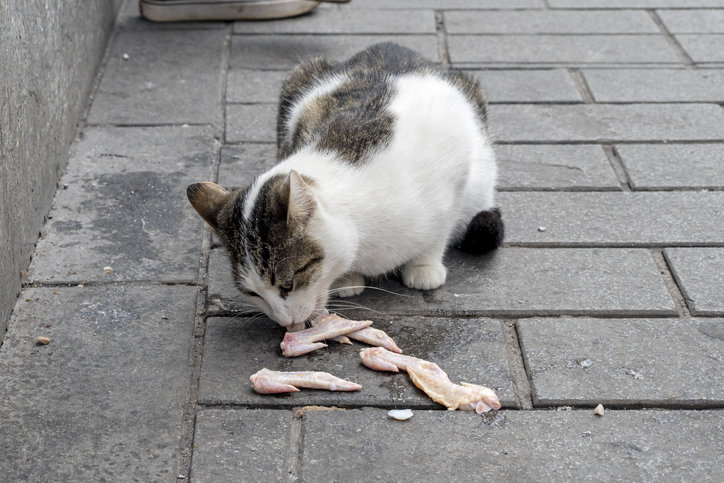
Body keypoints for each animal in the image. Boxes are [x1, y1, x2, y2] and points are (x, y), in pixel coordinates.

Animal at [187, 42, 504, 328]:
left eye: (288, 283)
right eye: (252, 293)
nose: (284, 322)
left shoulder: (455, 167)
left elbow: (439, 231)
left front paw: (424, 266)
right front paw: (347, 280)